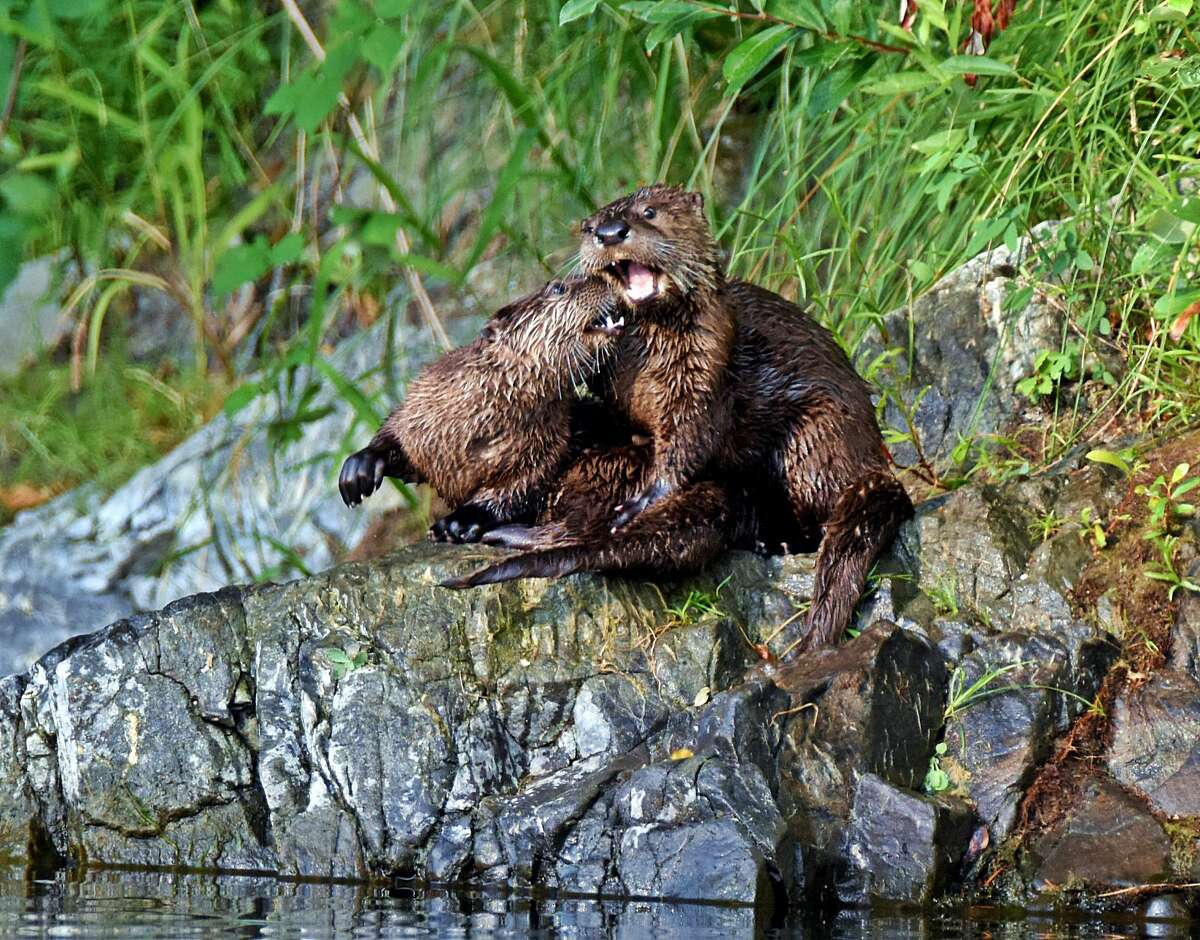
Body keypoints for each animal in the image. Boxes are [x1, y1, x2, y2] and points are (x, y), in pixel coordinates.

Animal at [338, 276, 626, 541]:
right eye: (558, 287)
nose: (602, 277)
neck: (480, 424)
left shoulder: (549, 447)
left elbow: (519, 489)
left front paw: (459, 521)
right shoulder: (422, 407)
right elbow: (397, 428)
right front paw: (361, 467)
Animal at [578, 183, 913, 649]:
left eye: (650, 211)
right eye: (589, 224)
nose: (609, 232)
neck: (644, 365)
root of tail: (872, 458)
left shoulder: (704, 380)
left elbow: (689, 443)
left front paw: (639, 502)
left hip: (813, 440)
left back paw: (778, 542)